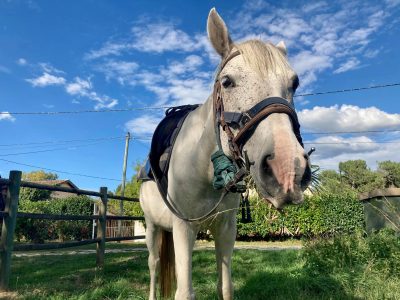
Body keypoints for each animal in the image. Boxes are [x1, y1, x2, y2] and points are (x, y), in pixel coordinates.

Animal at [141, 8, 312, 298]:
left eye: (295, 83)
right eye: (227, 81)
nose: (287, 170)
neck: (205, 170)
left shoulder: (225, 229)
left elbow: (225, 286)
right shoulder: (184, 227)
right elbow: (184, 291)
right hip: (152, 227)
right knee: (153, 265)